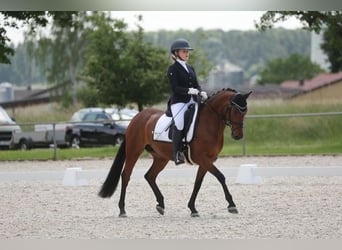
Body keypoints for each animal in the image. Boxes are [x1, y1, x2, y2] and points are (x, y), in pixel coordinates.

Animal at [99, 88, 251, 217]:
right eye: (236, 111)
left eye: (245, 112)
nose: (238, 136)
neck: (209, 123)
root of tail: (137, 117)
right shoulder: (202, 158)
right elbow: (221, 176)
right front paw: (231, 205)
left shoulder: (208, 160)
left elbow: (198, 183)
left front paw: (192, 208)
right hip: (133, 151)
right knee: (126, 176)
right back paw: (122, 210)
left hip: (161, 157)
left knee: (150, 176)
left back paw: (160, 205)